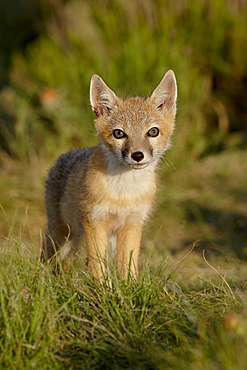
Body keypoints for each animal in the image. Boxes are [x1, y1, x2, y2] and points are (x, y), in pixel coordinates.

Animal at [40, 69, 177, 278]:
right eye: (119, 134)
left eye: (153, 132)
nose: (137, 155)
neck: (124, 193)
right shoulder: (95, 222)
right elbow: (98, 267)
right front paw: (103, 287)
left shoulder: (133, 223)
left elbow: (128, 267)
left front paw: (129, 287)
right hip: (61, 234)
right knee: (47, 256)